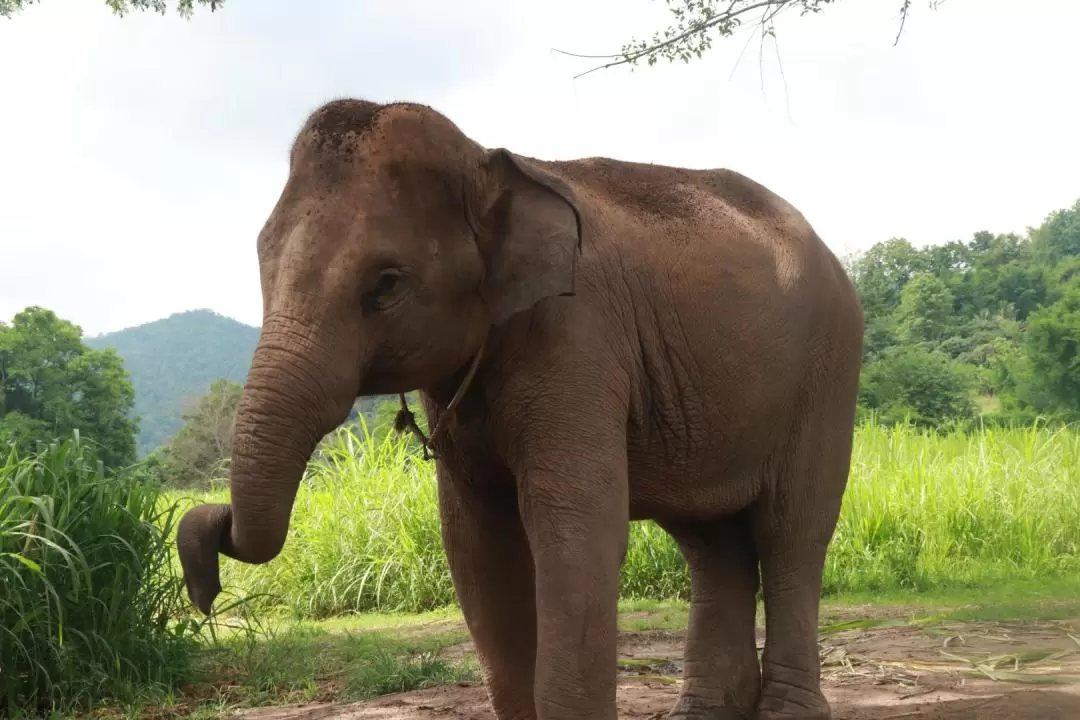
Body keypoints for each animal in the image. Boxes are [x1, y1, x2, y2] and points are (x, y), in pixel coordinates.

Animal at [181, 97, 864, 720]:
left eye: (386, 283)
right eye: (262, 259)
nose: (207, 581)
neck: (488, 161)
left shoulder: (578, 344)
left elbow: (576, 533)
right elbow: (476, 546)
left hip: (829, 372)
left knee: (792, 532)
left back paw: (787, 711)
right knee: (711, 543)